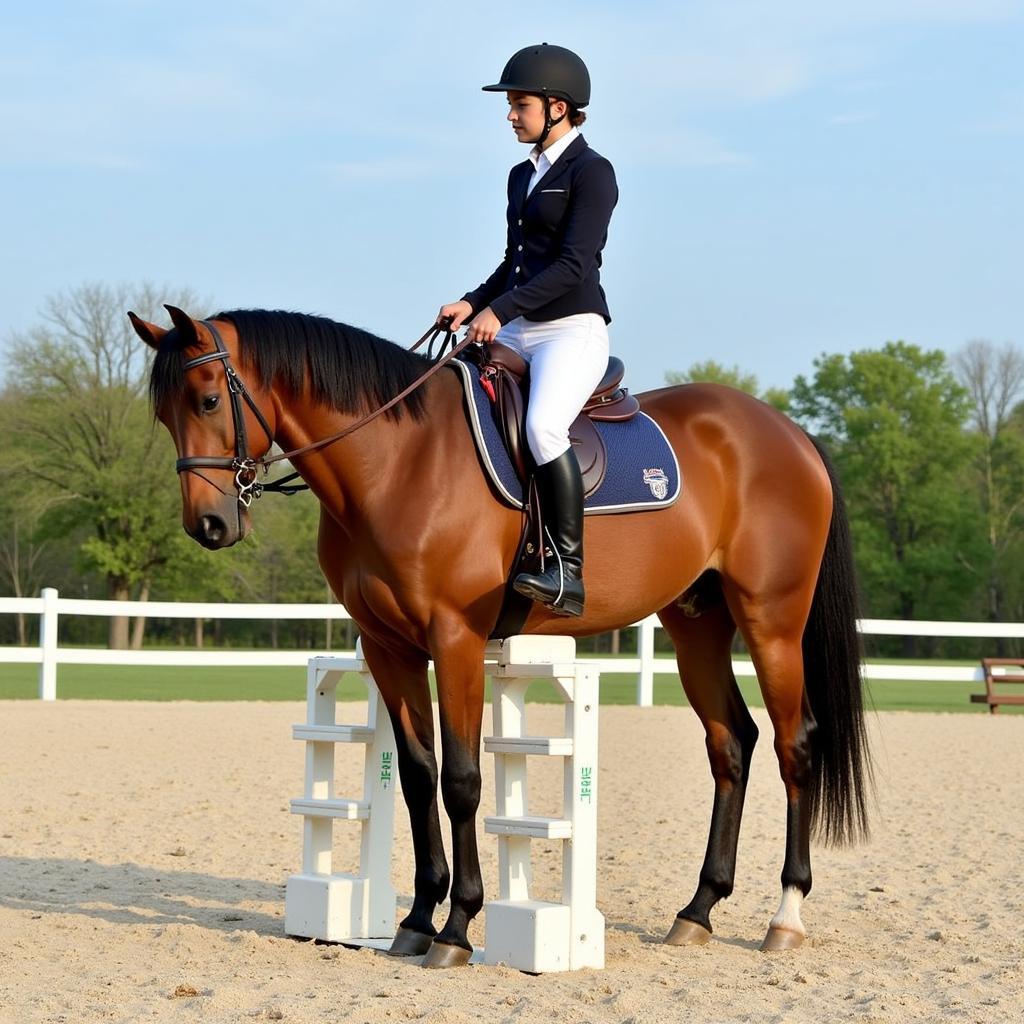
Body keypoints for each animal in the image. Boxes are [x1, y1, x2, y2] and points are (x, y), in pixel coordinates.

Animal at [130, 303, 872, 966]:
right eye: (163, 414)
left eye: (206, 400)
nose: (209, 526)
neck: (396, 459)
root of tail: (789, 432)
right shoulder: (389, 647)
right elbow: (419, 777)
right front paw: (417, 920)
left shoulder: (454, 639)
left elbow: (462, 779)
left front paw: (457, 928)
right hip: (697, 624)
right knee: (732, 744)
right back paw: (698, 910)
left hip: (771, 621)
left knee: (794, 746)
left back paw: (786, 916)